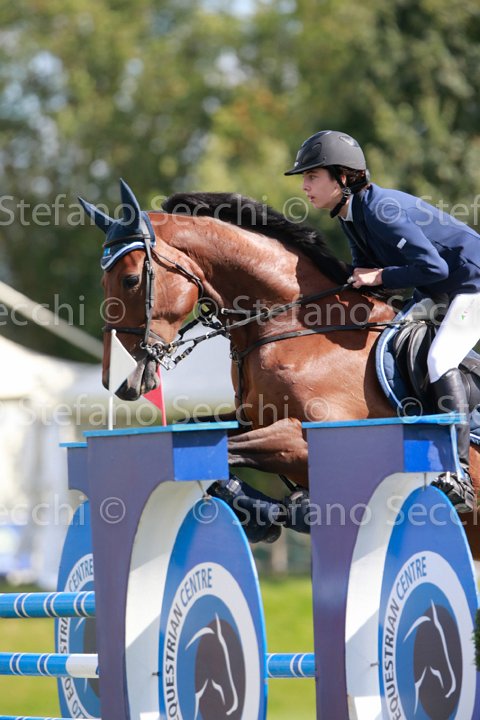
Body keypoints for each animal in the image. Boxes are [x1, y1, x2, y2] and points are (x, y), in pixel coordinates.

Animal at [79, 180, 480, 554]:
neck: (296, 324)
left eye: (131, 280)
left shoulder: (311, 433)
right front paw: (265, 515)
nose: (118, 381)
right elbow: (205, 443)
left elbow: (232, 449)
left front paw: (287, 510)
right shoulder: (251, 417)